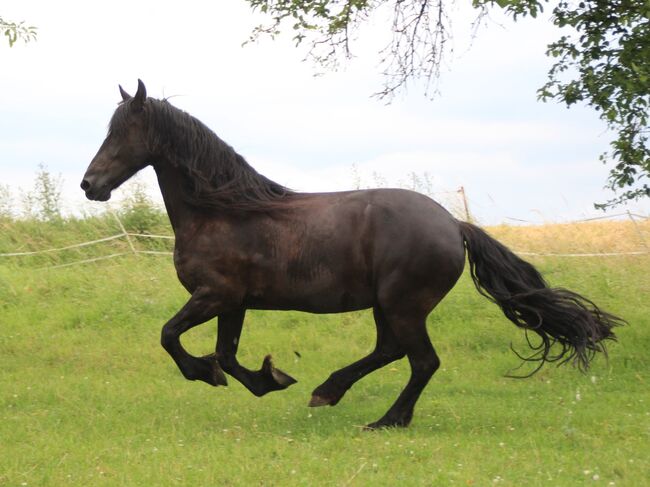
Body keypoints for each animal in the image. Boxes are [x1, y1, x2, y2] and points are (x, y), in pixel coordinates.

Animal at [81, 81, 624, 430]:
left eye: (121, 134)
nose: (90, 185)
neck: (223, 211)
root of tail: (454, 225)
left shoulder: (214, 296)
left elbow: (170, 336)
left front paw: (207, 374)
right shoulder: (232, 303)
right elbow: (228, 355)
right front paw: (268, 379)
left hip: (404, 305)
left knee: (422, 361)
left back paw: (386, 419)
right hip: (386, 306)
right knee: (391, 352)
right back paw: (330, 391)